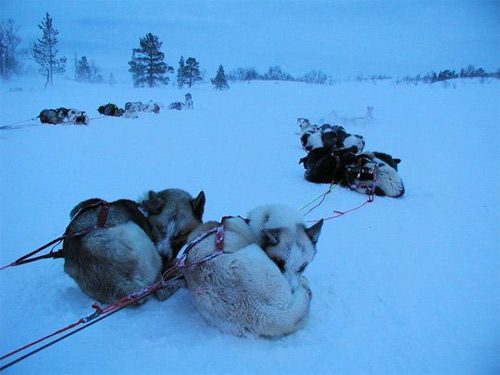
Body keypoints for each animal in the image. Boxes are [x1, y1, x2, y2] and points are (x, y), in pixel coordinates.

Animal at [64, 189, 205, 304]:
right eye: (159, 228)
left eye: (180, 235)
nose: (163, 256)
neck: (145, 213)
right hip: (137, 234)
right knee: (161, 291)